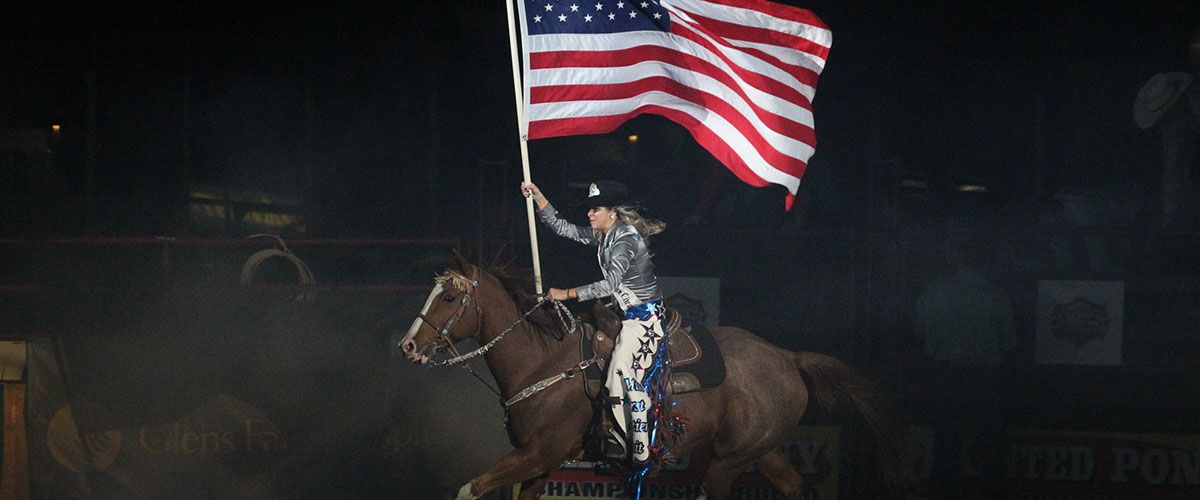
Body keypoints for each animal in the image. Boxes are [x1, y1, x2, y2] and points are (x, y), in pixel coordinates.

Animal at [398, 252, 902, 498]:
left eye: (449, 298)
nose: (408, 347)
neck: (543, 363)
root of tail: (786, 356)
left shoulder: (540, 453)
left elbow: (470, 488)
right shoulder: (539, 465)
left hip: (727, 461)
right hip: (764, 449)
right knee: (795, 486)